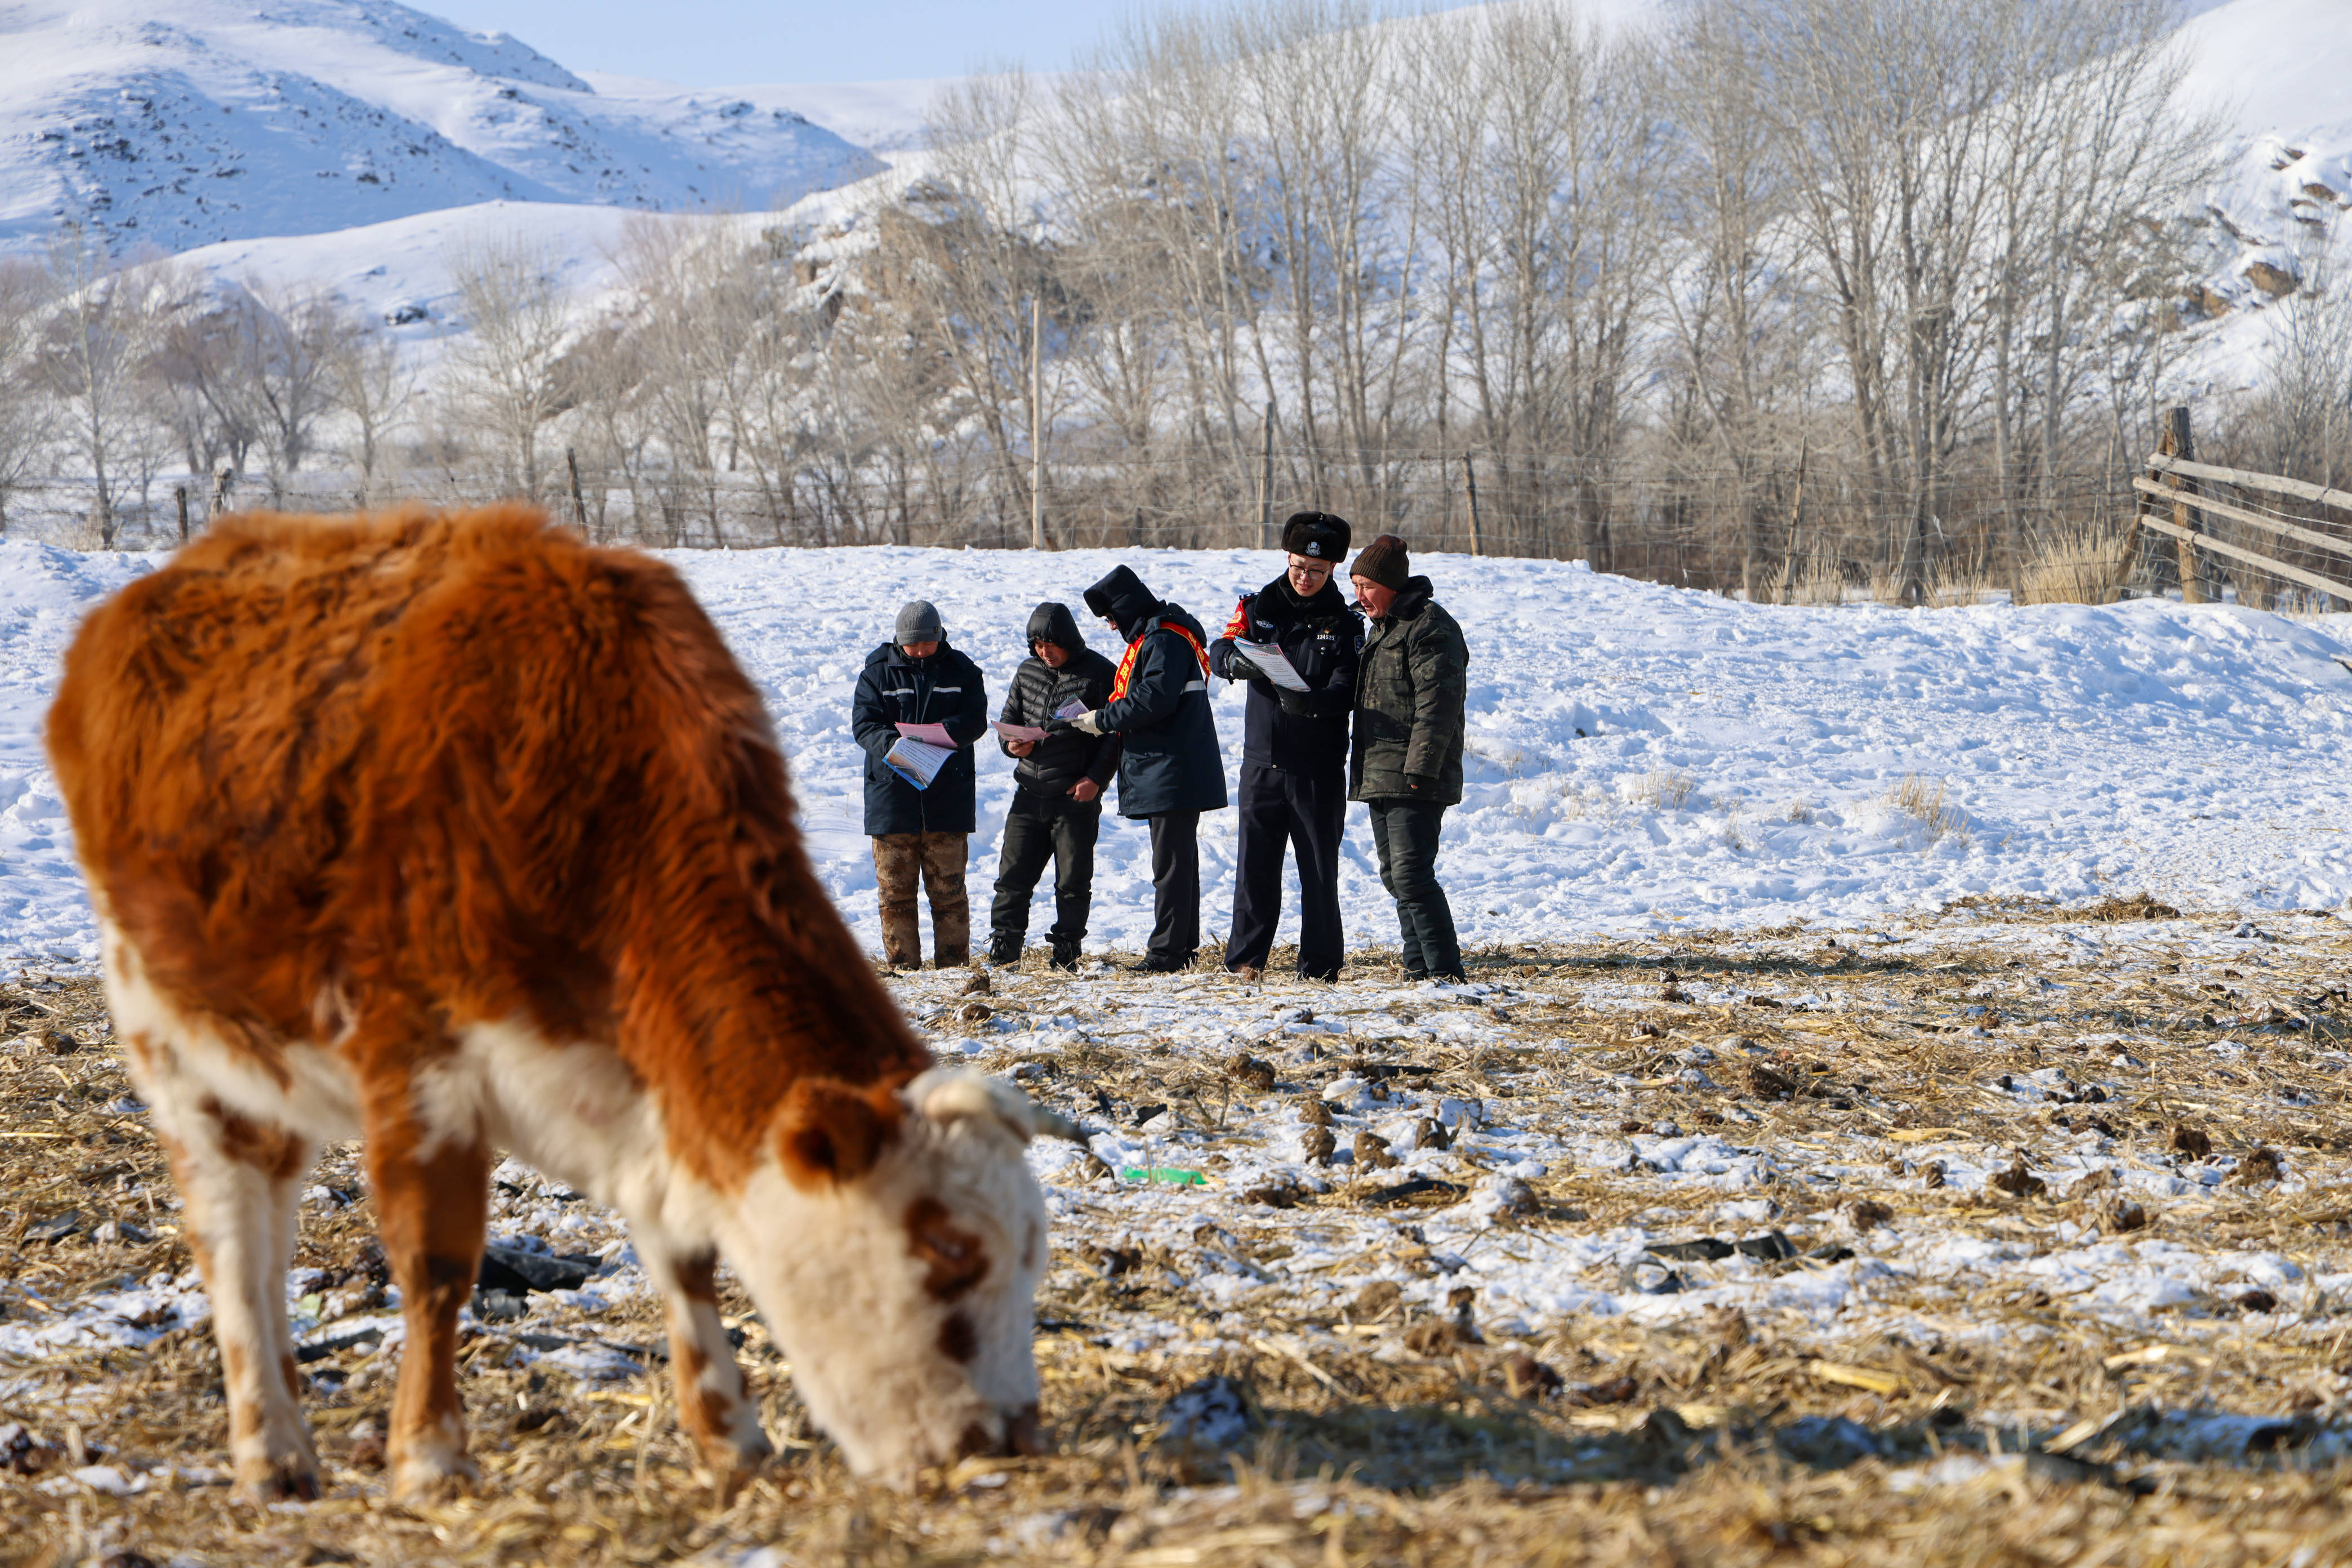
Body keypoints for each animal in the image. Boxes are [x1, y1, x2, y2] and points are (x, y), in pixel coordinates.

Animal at [46, 510, 1063, 1504]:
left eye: (1028, 1253)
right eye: (947, 1255)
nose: (1010, 1440)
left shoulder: (633, 1079)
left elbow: (684, 1249)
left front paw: (729, 1434)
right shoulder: (416, 1058)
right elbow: (436, 1264)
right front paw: (431, 1454)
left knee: (269, 1226)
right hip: (170, 1038)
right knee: (231, 1242)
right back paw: (270, 1449)